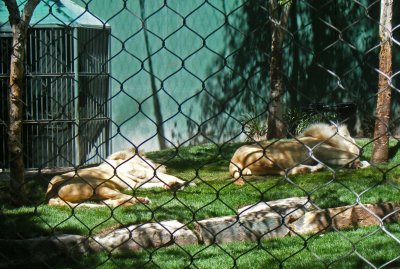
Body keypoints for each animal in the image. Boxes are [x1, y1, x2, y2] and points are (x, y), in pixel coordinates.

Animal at [44, 149, 188, 207]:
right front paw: (180, 183)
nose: (165, 166)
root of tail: (52, 195)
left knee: (112, 201)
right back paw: (143, 200)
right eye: (150, 159)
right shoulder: (136, 182)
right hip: (98, 187)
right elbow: (163, 178)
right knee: (125, 197)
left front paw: (176, 184)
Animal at [230, 122, 370, 183]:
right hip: (274, 157)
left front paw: (354, 164)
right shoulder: (321, 149)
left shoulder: (325, 155)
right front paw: (361, 163)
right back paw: (316, 168)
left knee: (287, 172)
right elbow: (350, 154)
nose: (361, 147)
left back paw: (315, 168)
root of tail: (234, 161)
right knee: (288, 170)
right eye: (352, 139)